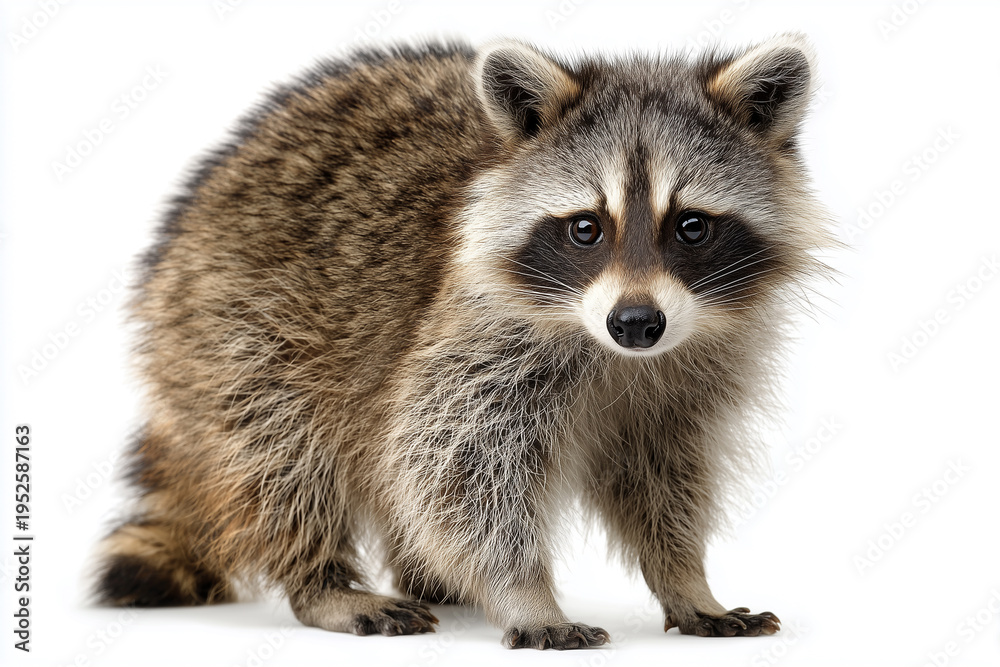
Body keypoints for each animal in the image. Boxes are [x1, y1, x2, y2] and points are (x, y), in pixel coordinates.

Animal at [94, 35, 833, 649]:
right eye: (586, 227)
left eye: (691, 225)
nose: (635, 323)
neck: (615, 353)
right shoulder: (477, 337)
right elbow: (456, 466)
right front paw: (527, 594)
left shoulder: (692, 370)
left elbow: (664, 474)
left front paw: (685, 576)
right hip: (231, 325)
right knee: (281, 452)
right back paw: (322, 583)